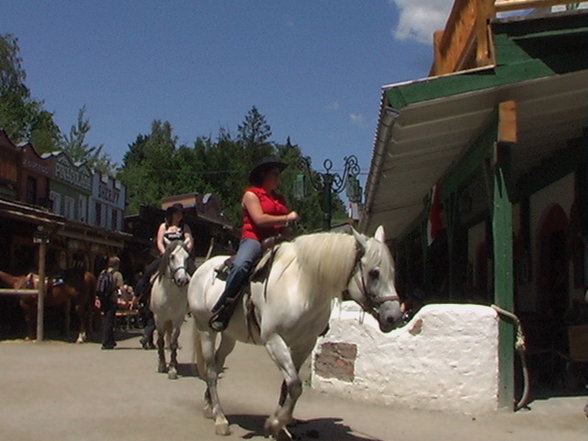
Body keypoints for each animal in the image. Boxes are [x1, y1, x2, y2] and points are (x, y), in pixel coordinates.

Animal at [150, 239, 192, 380]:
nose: (182, 280)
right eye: (172, 256)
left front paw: (172, 369)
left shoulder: (178, 319)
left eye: (187, 257)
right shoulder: (159, 318)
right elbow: (161, 341)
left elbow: (173, 342)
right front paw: (162, 365)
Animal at [188, 225, 404, 438]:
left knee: (218, 363)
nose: (394, 317)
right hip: (205, 329)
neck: (302, 288)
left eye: (393, 271)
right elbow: (295, 385)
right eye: (374, 273)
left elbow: (288, 385)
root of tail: (202, 269)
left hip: (229, 335)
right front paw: (275, 423)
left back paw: (209, 406)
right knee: (211, 371)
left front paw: (281, 425)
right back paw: (220, 419)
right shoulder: (274, 340)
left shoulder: (305, 343)